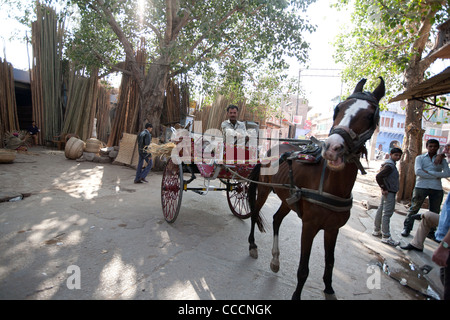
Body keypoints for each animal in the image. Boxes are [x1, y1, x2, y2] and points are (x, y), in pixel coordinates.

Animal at [248, 77, 384, 300]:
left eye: (369, 115)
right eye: (338, 109)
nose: (332, 148)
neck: (331, 185)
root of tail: (271, 150)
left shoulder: (333, 229)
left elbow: (330, 262)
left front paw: (329, 289)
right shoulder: (309, 227)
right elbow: (303, 268)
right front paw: (296, 295)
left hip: (287, 199)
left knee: (277, 219)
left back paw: (275, 259)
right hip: (265, 189)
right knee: (254, 213)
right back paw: (252, 245)